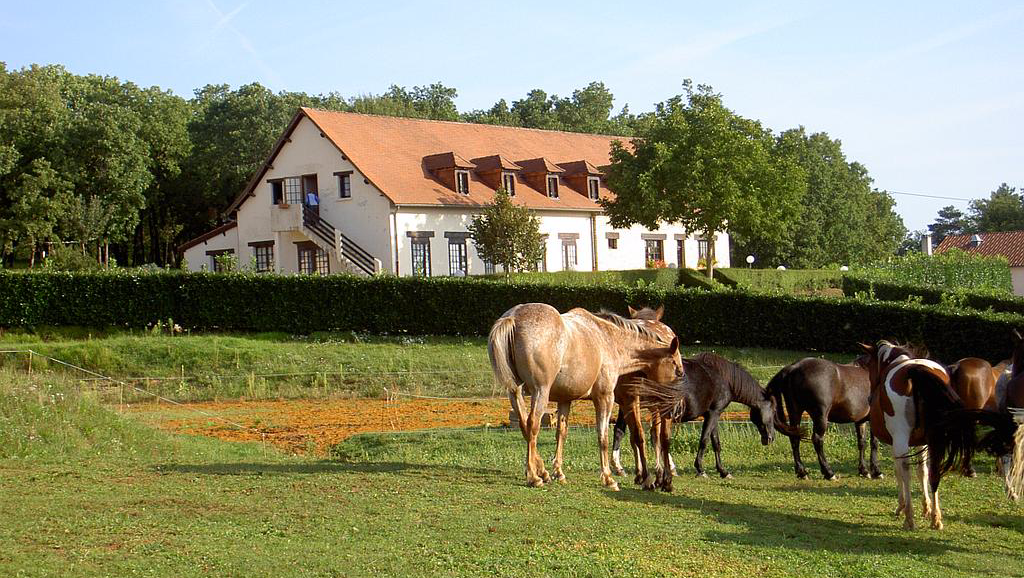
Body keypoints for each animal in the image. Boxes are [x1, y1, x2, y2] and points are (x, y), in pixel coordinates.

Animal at [488, 303, 683, 489]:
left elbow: (561, 433)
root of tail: (514, 317)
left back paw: (542, 472)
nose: (675, 403)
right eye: (677, 369)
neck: (609, 340)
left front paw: (558, 472)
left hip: (515, 391)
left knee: (524, 426)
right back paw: (533, 477)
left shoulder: (565, 399)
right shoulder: (606, 398)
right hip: (540, 392)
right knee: (532, 425)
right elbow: (604, 436)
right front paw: (609, 478)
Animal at [631, 352, 802, 491]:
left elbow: (716, 443)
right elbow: (704, 441)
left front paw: (723, 471)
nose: (770, 438)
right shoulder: (714, 413)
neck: (723, 377)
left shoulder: (713, 414)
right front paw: (700, 470)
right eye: (773, 412)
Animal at [859, 340, 1022, 530]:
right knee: (934, 471)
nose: (869, 398)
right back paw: (936, 518)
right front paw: (926, 508)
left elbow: (900, 471)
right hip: (934, 438)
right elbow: (922, 471)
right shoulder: (922, 442)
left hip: (903, 438)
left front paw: (902, 506)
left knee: (906, 471)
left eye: (870, 367)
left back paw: (909, 518)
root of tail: (913, 370)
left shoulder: (897, 442)